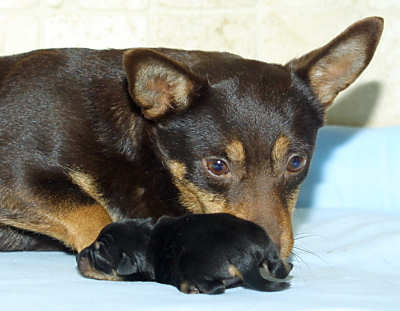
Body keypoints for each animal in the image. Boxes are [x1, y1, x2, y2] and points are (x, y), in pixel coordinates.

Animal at [78, 214, 290, 294]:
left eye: (98, 253)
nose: (79, 255)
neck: (146, 240)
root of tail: (245, 256)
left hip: (189, 261)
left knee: (216, 287)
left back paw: (190, 287)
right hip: (266, 242)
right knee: (279, 267)